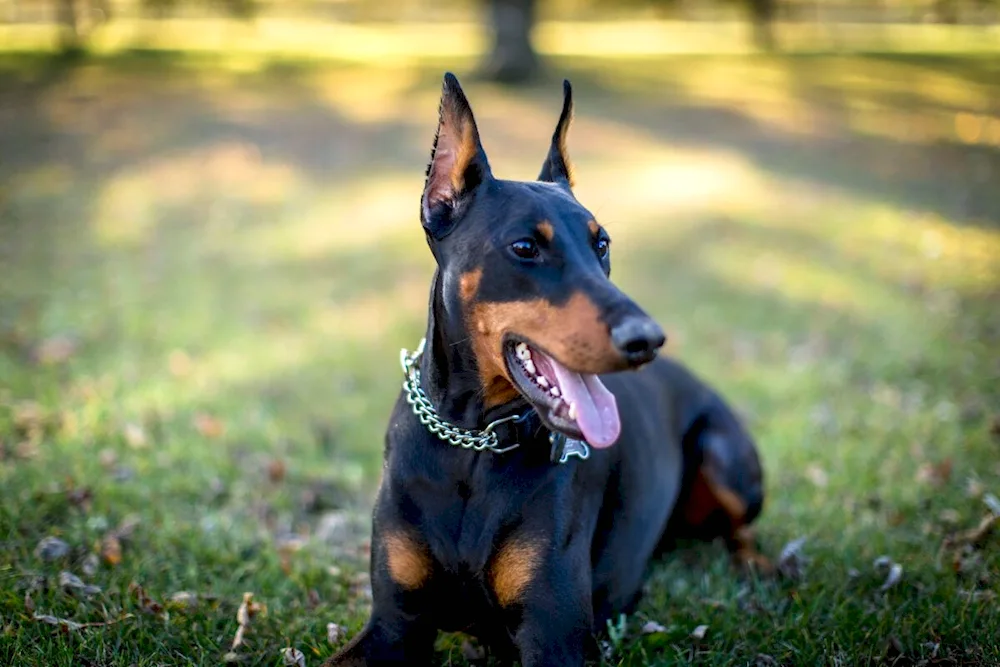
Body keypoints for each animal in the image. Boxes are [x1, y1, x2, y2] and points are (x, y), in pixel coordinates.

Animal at [324, 73, 760, 667]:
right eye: (525, 246)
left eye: (602, 243)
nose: (647, 339)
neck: (473, 442)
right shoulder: (393, 623)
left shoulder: (554, 636)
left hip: (724, 454)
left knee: (741, 530)